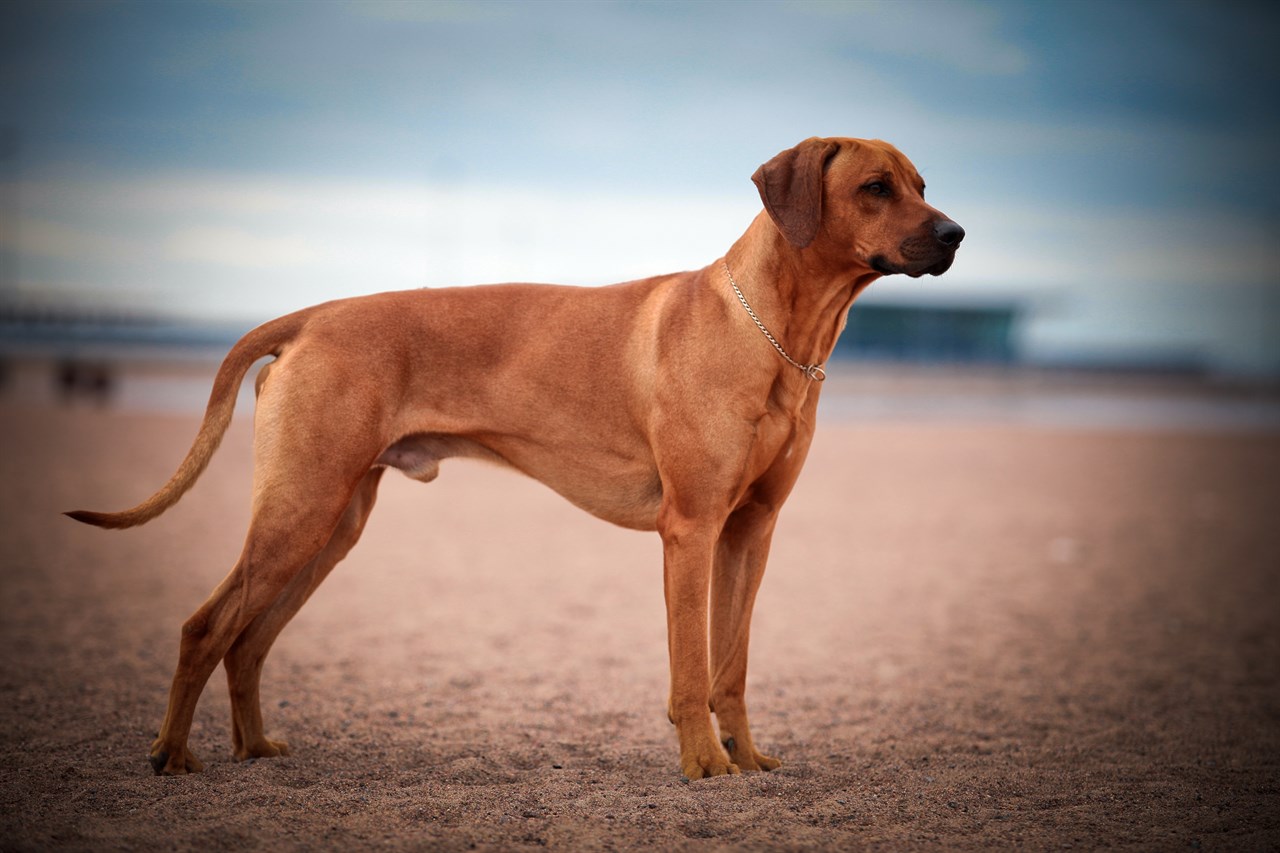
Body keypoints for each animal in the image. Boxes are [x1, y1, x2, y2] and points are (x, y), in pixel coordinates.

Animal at [67, 134, 962, 778]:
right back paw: (172, 753)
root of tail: (314, 315)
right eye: (876, 188)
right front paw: (706, 765)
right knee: (206, 626)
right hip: (300, 507)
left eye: (923, 182)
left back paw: (253, 748)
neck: (775, 332)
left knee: (248, 641)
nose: (955, 232)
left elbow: (732, 667)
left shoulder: (752, 530)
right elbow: (691, 670)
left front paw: (746, 756)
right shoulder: (691, 529)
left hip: (333, 522)